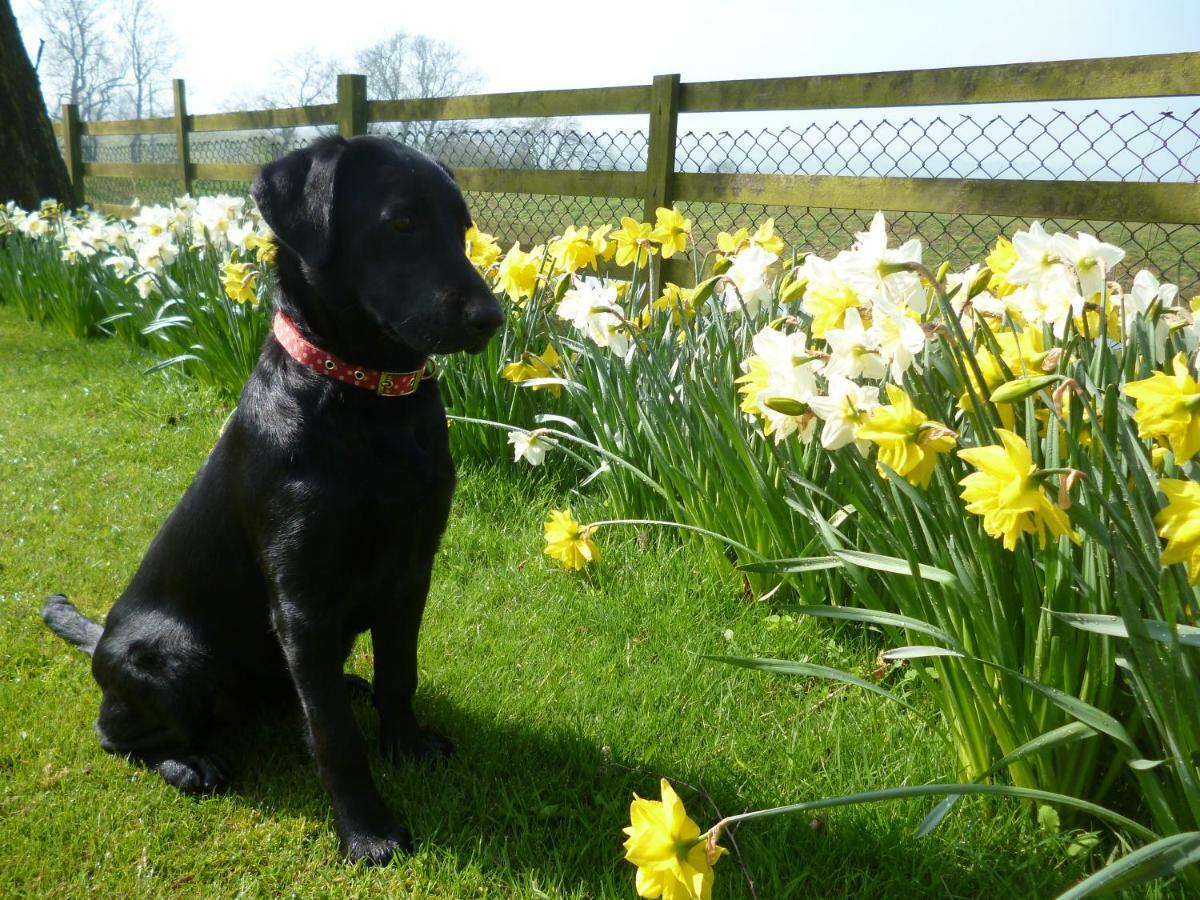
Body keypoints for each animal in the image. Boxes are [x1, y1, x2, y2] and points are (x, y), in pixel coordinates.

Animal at [41, 133, 501, 868]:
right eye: (401, 223)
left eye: (463, 230)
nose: (491, 319)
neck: (364, 403)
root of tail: (103, 639)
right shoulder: (302, 602)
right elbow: (335, 738)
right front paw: (367, 831)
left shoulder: (412, 572)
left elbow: (399, 674)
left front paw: (406, 744)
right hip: (175, 656)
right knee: (117, 733)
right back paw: (189, 763)